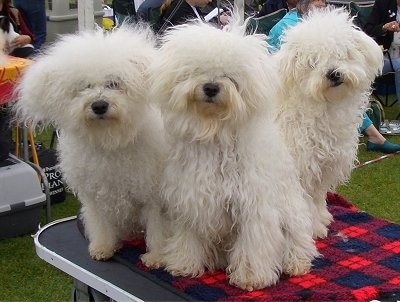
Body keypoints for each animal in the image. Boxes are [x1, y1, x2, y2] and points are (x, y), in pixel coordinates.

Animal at [14, 26, 166, 260]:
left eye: (114, 83)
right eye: (83, 87)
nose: (99, 105)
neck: (110, 141)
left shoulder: (153, 197)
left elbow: (157, 229)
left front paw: (156, 257)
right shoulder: (96, 195)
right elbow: (101, 223)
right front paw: (103, 247)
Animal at [144, 20, 318, 290]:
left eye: (231, 77)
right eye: (197, 71)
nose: (211, 88)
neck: (215, 132)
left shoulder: (253, 208)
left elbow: (253, 246)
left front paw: (250, 278)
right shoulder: (190, 199)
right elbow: (188, 237)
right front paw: (183, 264)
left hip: (293, 219)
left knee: (298, 244)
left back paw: (295, 264)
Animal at [274, 7, 382, 238]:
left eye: (341, 53)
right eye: (312, 62)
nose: (333, 74)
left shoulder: (321, 169)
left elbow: (316, 199)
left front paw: (321, 220)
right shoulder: (301, 169)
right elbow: (305, 203)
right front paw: (312, 229)